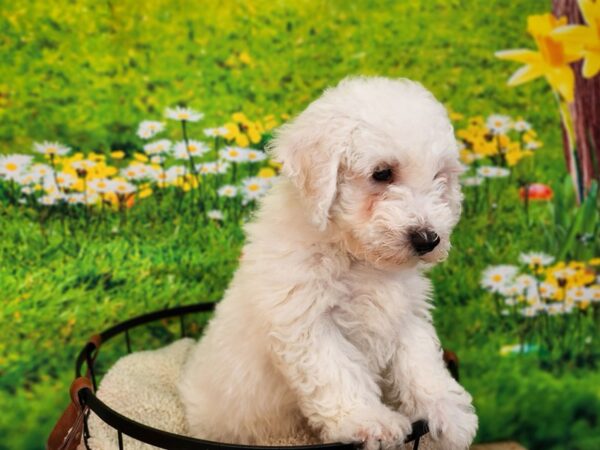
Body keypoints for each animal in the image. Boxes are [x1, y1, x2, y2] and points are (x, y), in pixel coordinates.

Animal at [178, 77, 478, 450]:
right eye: (382, 173)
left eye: (439, 177)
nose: (427, 239)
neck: (356, 254)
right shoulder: (307, 318)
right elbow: (337, 372)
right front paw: (370, 421)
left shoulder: (406, 314)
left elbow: (420, 359)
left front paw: (447, 410)